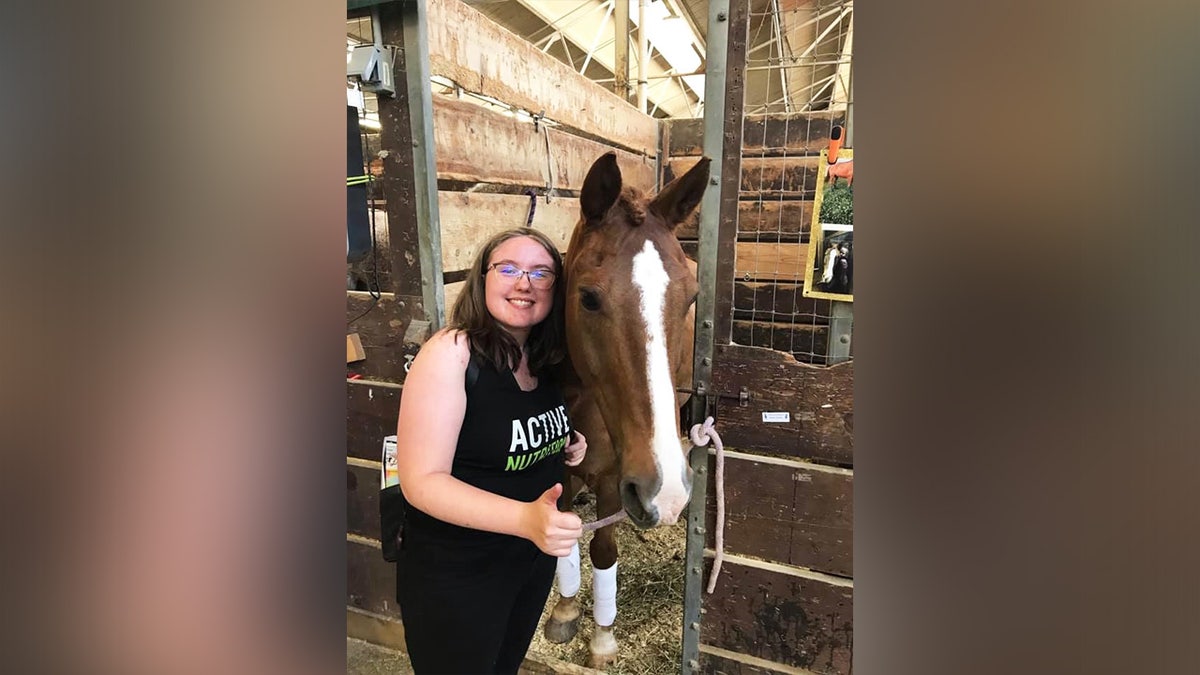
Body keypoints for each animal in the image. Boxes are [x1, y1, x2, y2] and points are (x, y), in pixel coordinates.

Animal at [544, 151, 711, 668]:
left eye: (691, 297)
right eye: (588, 297)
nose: (667, 491)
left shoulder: (617, 477)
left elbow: (602, 549)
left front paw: (601, 639)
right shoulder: (561, 469)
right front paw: (564, 611)